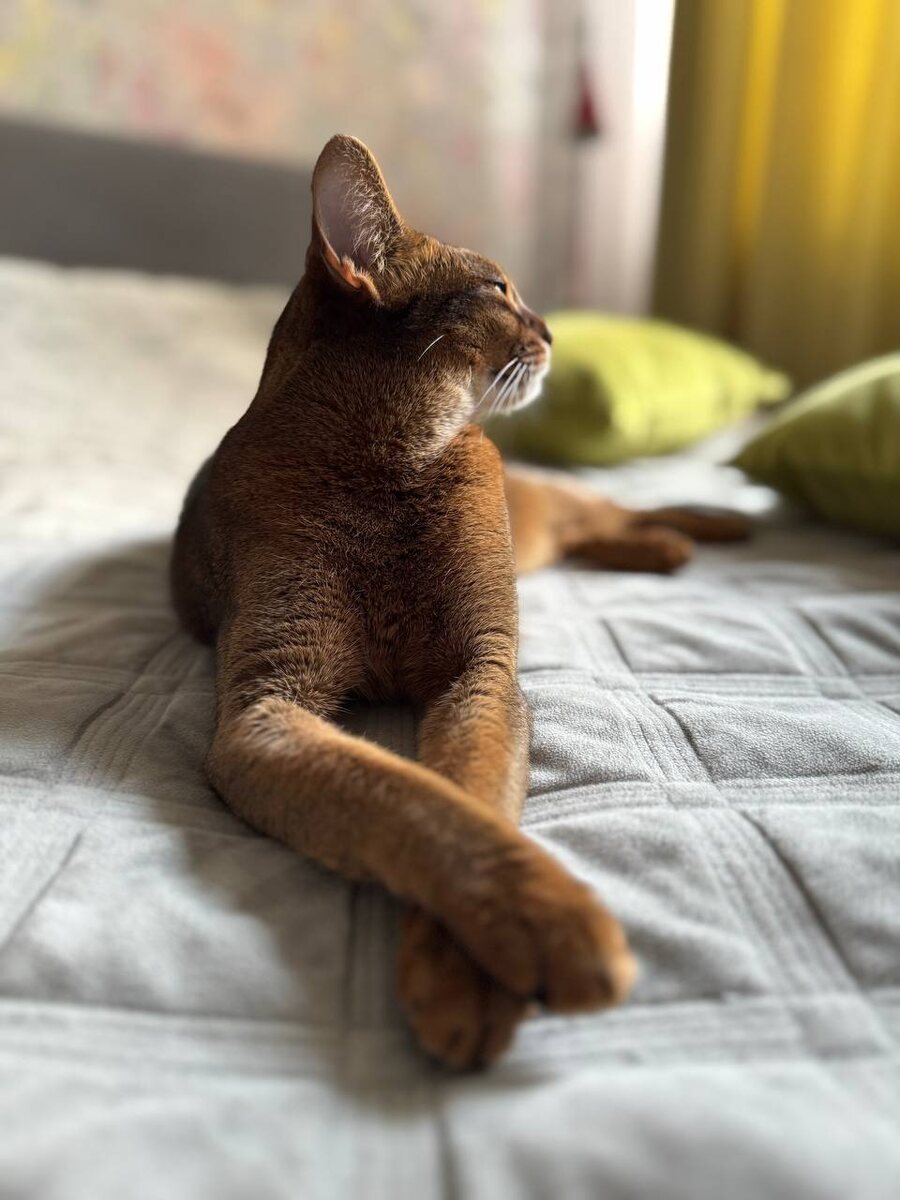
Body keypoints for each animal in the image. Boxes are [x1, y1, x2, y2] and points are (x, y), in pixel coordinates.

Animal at [171, 135, 749, 1069]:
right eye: (497, 288)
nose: (551, 330)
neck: (392, 459)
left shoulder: (481, 666)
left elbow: (469, 790)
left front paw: (474, 965)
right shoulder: (265, 704)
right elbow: (406, 797)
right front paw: (541, 932)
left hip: (545, 507)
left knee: (611, 506)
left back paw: (713, 524)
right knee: (598, 527)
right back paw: (665, 548)